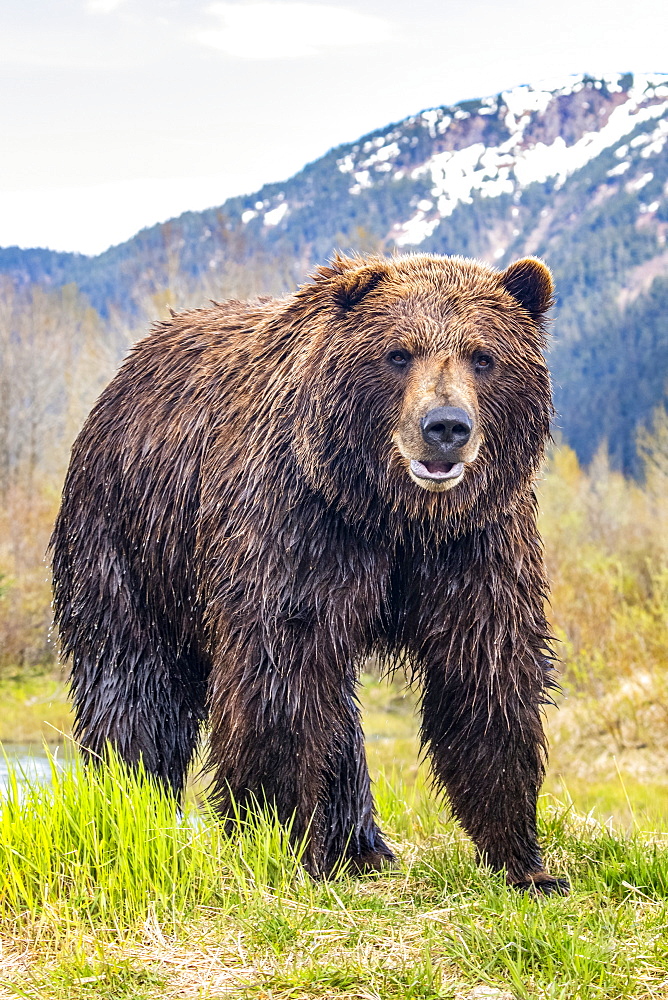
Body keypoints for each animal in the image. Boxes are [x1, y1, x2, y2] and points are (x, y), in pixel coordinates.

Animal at [49, 254, 568, 896]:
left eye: (483, 356)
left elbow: (487, 672)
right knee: (133, 677)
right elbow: (280, 676)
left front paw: (525, 861)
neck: (392, 515)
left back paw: (360, 847)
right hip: (130, 539)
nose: (446, 426)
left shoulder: (472, 545)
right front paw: (278, 836)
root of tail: (129, 370)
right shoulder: (301, 526)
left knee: (338, 708)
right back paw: (133, 801)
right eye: (399, 353)